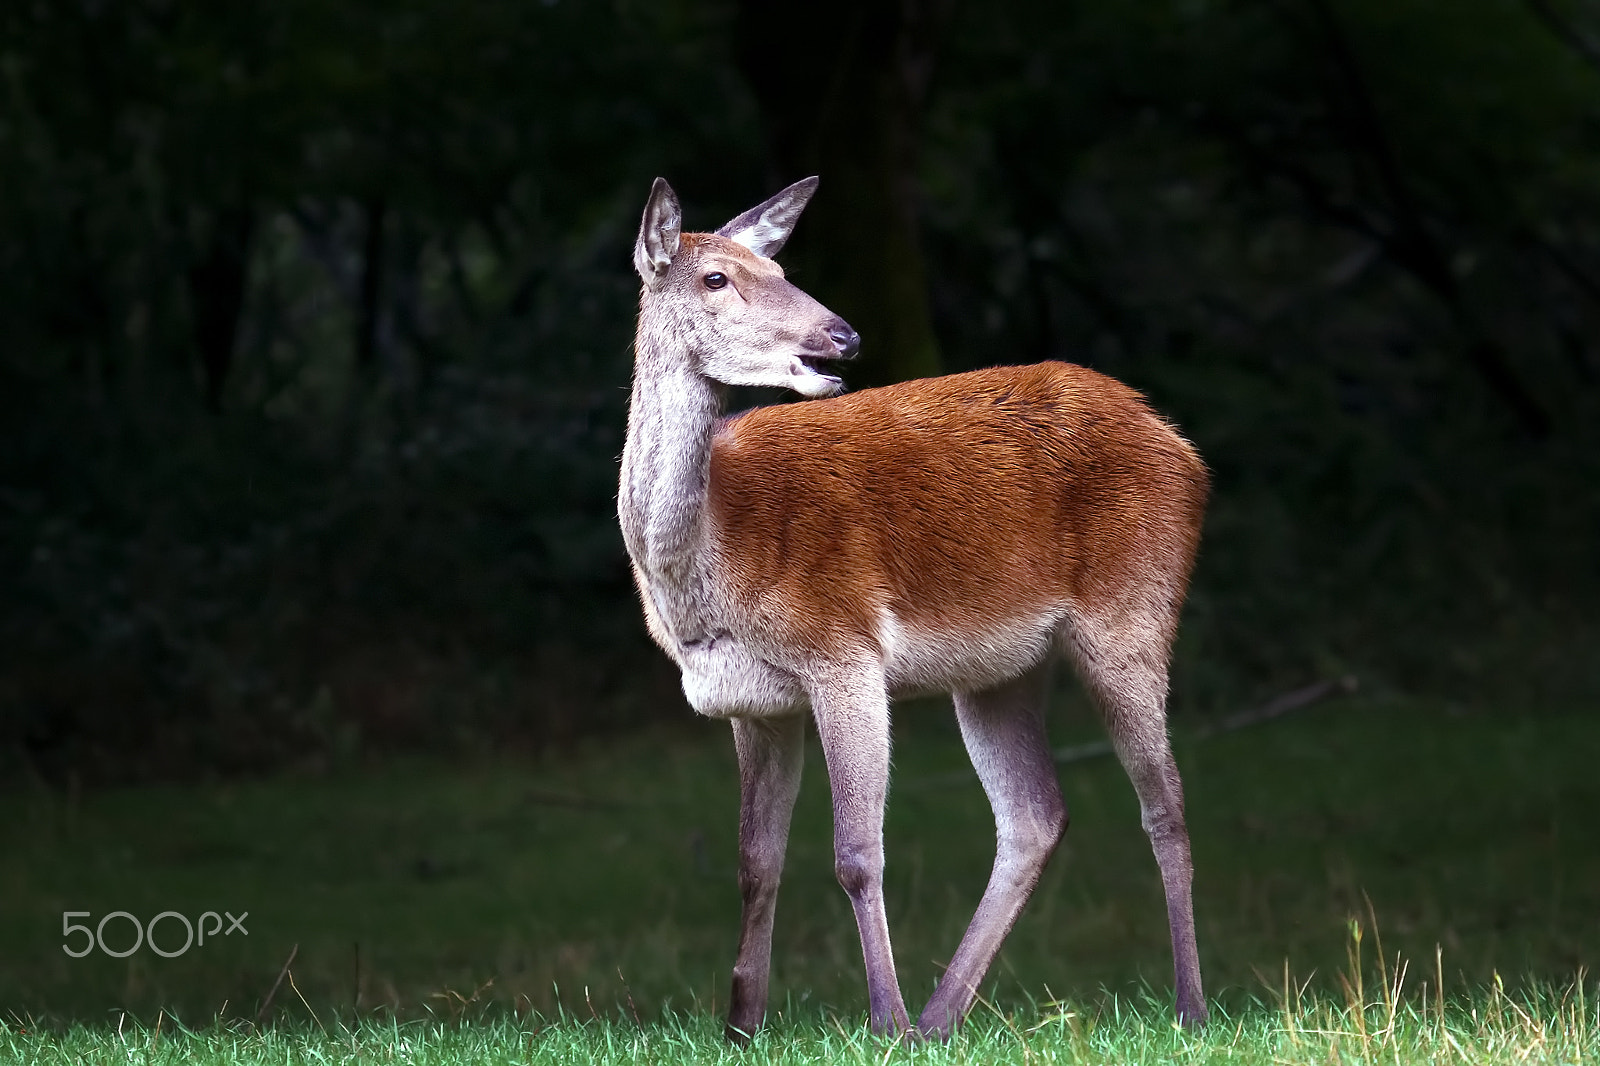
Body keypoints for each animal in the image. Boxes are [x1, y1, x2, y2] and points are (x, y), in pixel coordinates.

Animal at [617, 174, 1203, 1037]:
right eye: (716, 277)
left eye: (776, 266)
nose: (842, 335)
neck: (701, 578)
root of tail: (1183, 448)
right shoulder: (750, 704)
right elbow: (756, 865)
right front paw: (740, 1027)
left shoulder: (843, 648)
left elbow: (857, 853)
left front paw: (881, 1021)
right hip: (999, 669)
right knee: (1034, 815)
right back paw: (942, 1017)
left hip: (1133, 610)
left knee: (1164, 804)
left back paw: (1188, 1005)